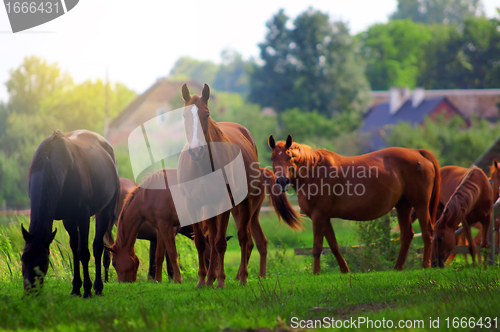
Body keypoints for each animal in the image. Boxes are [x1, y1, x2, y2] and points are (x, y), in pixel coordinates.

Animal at [22, 130, 119, 298]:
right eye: (23, 258)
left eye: (44, 260)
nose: (30, 291)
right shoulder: (68, 218)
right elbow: (74, 249)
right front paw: (75, 288)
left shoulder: (83, 216)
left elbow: (83, 252)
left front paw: (87, 289)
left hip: (105, 210)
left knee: (98, 247)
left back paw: (98, 287)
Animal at [177, 83, 298, 288]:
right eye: (184, 115)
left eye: (206, 114)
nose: (196, 150)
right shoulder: (192, 205)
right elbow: (201, 242)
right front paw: (202, 281)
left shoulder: (225, 203)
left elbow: (220, 243)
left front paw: (221, 282)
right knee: (215, 238)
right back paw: (210, 279)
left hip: (244, 205)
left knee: (244, 239)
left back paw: (242, 278)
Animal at [268, 135, 440, 272]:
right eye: (272, 158)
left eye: (289, 157)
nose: (282, 181)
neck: (314, 171)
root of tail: (418, 152)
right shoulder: (325, 218)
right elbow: (334, 246)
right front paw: (345, 271)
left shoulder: (318, 216)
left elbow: (317, 248)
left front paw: (316, 273)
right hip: (403, 205)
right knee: (407, 235)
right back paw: (398, 268)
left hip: (420, 205)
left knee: (427, 232)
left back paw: (425, 266)